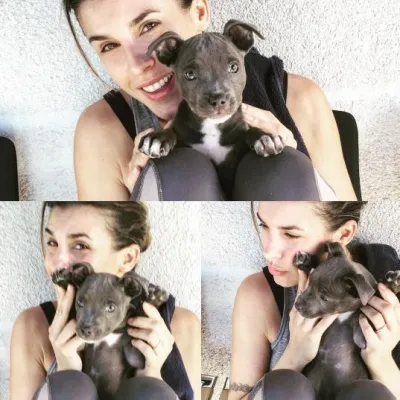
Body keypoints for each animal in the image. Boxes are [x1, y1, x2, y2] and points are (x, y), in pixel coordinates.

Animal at [52, 262, 169, 400]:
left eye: (111, 307)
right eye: (79, 302)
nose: (85, 330)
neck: (110, 334)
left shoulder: (136, 356)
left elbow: (142, 314)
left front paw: (155, 298)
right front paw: (63, 279)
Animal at [138, 20, 286, 198]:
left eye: (233, 67)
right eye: (189, 74)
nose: (218, 99)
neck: (212, 125)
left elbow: (248, 132)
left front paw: (264, 137)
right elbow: (173, 133)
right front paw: (159, 137)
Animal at [293, 242, 400, 399]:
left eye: (324, 298)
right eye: (309, 283)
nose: (297, 305)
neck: (344, 313)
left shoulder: (364, 334)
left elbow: (371, 301)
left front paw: (392, 283)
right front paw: (306, 261)